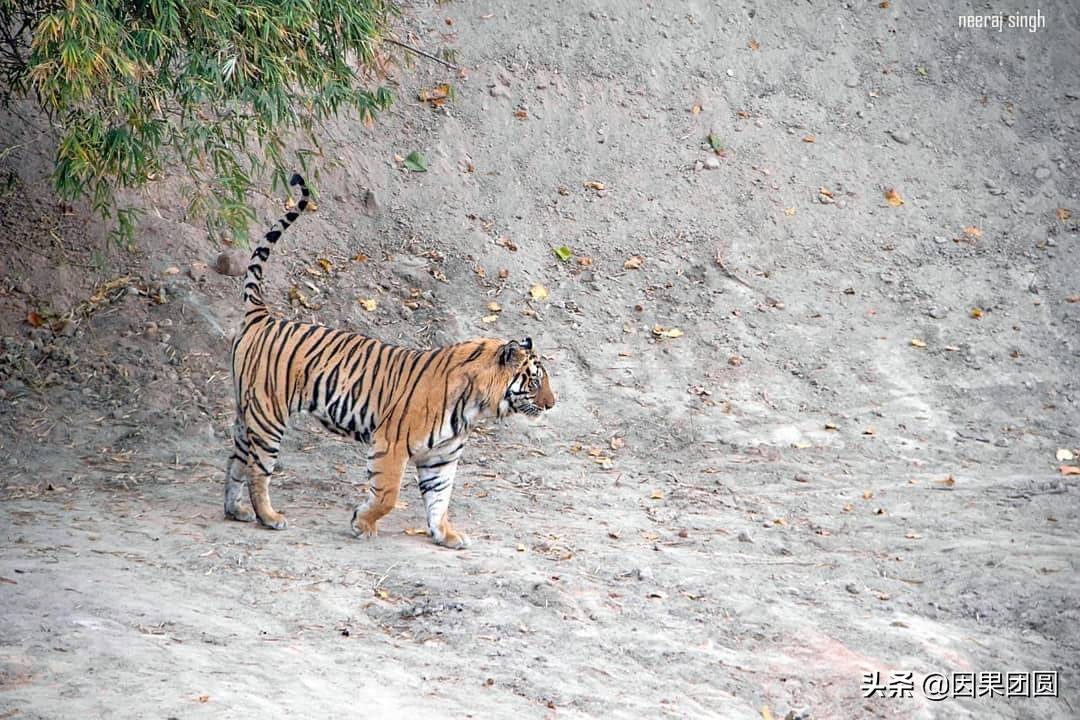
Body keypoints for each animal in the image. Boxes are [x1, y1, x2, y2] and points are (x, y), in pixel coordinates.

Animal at [221, 172, 557, 546]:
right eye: (535, 380)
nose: (552, 404)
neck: (474, 407)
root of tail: (263, 316)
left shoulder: (441, 458)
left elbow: (439, 498)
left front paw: (446, 534)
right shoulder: (391, 444)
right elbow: (388, 495)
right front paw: (362, 523)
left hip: (249, 412)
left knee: (236, 460)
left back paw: (236, 510)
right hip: (269, 414)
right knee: (258, 469)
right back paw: (268, 516)